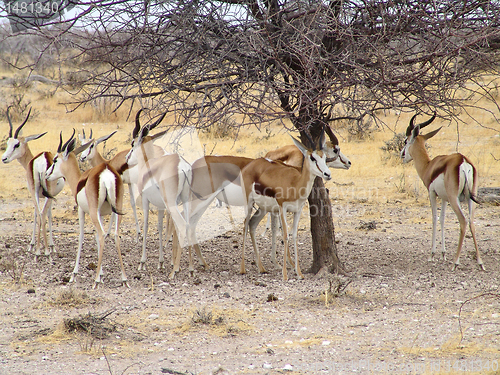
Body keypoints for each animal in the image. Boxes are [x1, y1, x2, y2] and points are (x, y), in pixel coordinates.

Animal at [1, 108, 64, 262]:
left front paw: (35, 246)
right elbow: (44, 214)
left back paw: (41, 252)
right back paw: (43, 252)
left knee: (41, 214)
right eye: (8, 143)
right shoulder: (44, 195)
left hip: (37, 192)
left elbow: (40, 214)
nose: (4, 158)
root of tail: (41, 161)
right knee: (42, 214)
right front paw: (42, 247)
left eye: (16, 144)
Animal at [45, 131, 129, 290]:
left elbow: (82, 237)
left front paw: (74, 275)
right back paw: (124, 279)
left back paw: (95, 282)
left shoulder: (82, 211)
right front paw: (102, 275)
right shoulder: (101, 214)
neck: (80, 180)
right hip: (117, 211)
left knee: (102, 235)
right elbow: (97, 238)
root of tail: (106, 171)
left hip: (94, 212)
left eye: (55, 160)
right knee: (114, 235)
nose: (46, 174)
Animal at [242, 134, 332, 280]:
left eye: (324, 157)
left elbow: (294, 235)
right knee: (245, 225)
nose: (327, 174)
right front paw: (284, 275)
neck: (295, 184)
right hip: (249, 203)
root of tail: (252, 164)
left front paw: (299, 273)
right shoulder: (282, 209)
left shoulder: (298, 210)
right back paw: (243, 269)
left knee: (252, 224)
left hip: (263, 208)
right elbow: (285, 235)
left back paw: (261, 268)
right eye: (312, 158)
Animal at [398, 113, 484, 272]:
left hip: (454, 199)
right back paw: (480, 263)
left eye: (406, 141)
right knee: (471, 222)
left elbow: (434, 218)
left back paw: (455, 262)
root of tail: (463, 161)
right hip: (470, 198)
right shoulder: (444, 198)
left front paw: (432, 255)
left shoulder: (432, 194)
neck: (429, 166)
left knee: (463, 221)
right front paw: (443, 254)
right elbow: (443, 219)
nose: (402, 155)